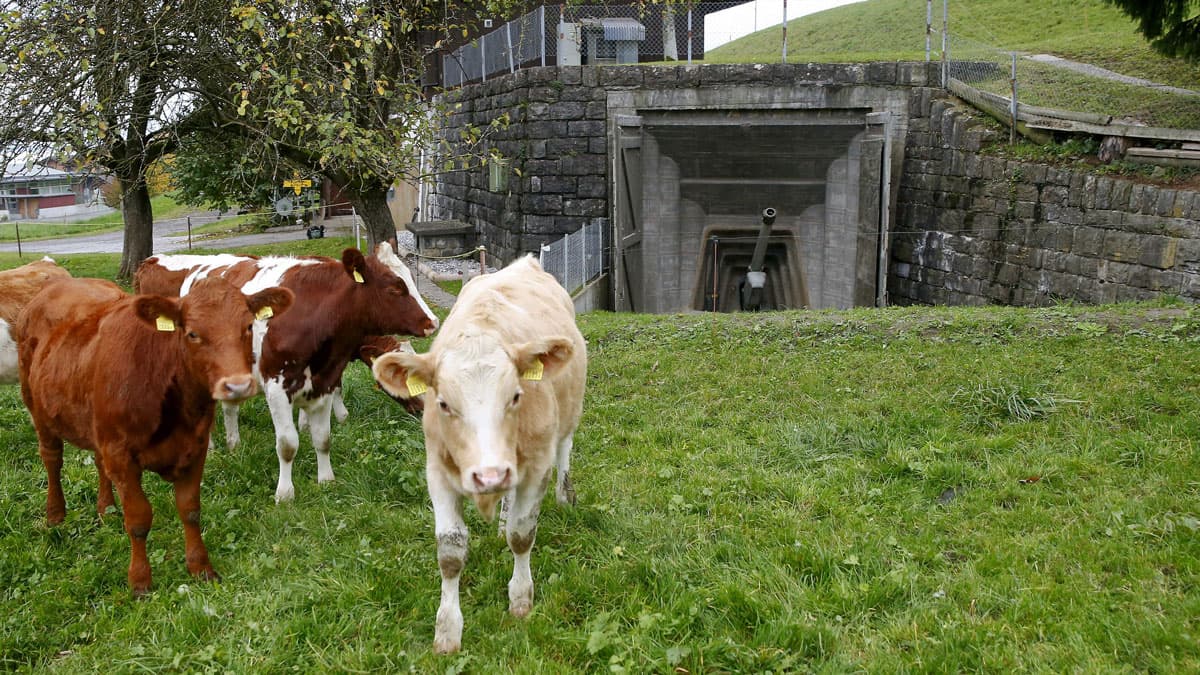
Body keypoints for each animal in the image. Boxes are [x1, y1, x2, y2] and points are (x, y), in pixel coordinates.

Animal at [16, 276, 293, 594]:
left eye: (248, 326)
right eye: (192, 333)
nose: (237, 386)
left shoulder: (195, 448)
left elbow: (190, 509)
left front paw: (201, 567)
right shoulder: (121, 456)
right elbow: (138, 518)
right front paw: (140, 581)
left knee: (98, 463)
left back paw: (106, 508)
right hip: (37, 407)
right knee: (52, 458)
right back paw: (55, 514)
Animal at [134, 243, 438, 502]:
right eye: (395, 288)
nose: (433, 322)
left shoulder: (325, 380)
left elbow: (323, 438)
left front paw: (326, 479)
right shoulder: (277, 387)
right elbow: (288, 444)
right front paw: (285, 493)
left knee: (230, 408)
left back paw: (234, 443)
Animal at [370, 255, 586, 654]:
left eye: (515, 396)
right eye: (443, 403)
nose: (490, 476)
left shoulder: (537, 466)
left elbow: (522, 534)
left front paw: (520, 598)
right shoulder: (437, 471)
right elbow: (450, 551)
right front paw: (447, 631)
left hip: (569, 414)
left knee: (566, 448)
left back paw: (566, 496)